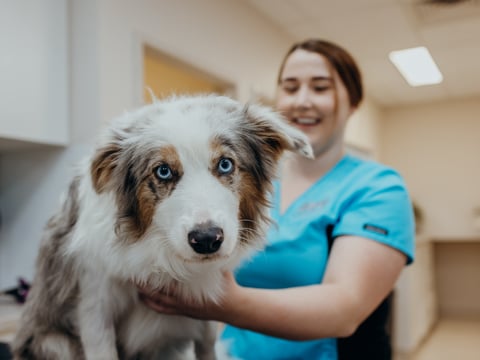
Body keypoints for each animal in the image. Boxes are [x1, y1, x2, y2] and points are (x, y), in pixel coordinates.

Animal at [11, 94, 314, 358]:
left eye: (226, 164)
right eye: (163, 171)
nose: (206, 239)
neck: (159, 252)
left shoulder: (206, 319)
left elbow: (207, 348)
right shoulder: (94, 307)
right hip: (55, 342)